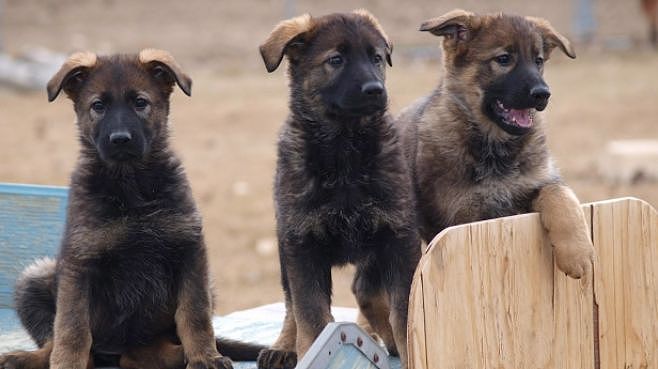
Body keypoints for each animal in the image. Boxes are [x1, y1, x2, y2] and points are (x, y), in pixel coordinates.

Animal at [256, 10, 420, 368]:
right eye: (336, 60)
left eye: (376, 58)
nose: (375, 90)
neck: (344, 148)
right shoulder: (302, 245)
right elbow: (310, 316)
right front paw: (307, 348)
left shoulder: (398, 237)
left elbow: (405, 311)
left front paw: (409, 348)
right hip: (285, 249)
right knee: (292, 305)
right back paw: (283, 345)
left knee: (365, 291)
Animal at [394, 10, 596, 278]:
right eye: (503, 59)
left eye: (538, 61)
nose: (543, 93)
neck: (495, 147)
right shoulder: (465, 216)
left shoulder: (538, 181)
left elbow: (561, 196)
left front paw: (578, 253)